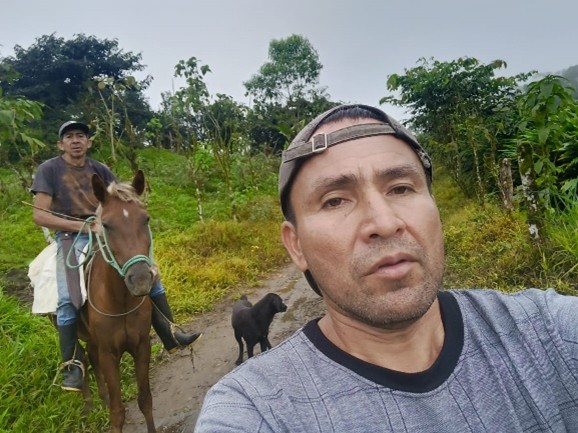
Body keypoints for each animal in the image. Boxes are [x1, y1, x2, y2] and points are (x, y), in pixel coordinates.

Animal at [77, 170, 157, 432]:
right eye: (107, 225)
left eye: (146, 219)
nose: (141, 279)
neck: (120, 302)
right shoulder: (109, 354)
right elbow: (118, 412)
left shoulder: (142, 345)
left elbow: (145, 400)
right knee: (81, 361)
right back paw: (90, 404)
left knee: (90, 356)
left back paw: (101, 398)